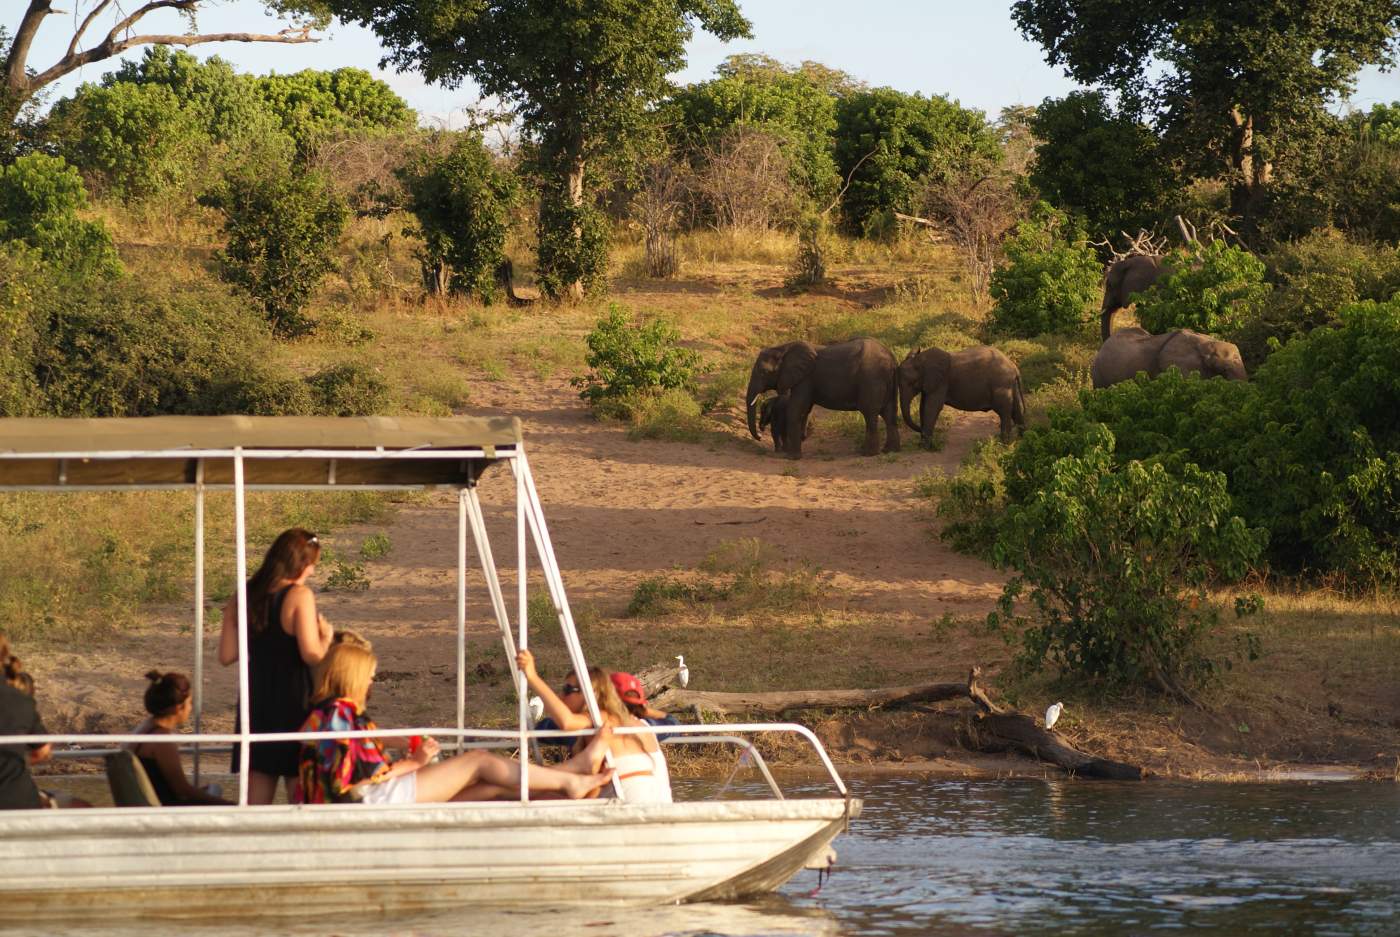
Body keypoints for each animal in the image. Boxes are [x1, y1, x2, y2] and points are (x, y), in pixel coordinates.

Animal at [744, 336, 896, 456]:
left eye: (763, 372)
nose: (760, 436)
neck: (783, 348)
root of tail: (891, 357)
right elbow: (804, 409)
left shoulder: (805, 379)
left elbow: (795, 409)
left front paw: (792, 457)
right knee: (889, 414)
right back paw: (889, 450)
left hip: (871, 380)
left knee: (870, 414)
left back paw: (868, 454)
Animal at [896, 345, 1030, 445]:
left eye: (912, 383)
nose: (920, 429)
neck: (921, 360)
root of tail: (1014, 367)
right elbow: (923, 407)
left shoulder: (941, 382)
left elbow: (932, 408)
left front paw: (925, 446)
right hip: (1010, 385)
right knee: (1015, 411)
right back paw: (1021, 440)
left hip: (1001, 385)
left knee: (1004, 412)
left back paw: (1003, 444)